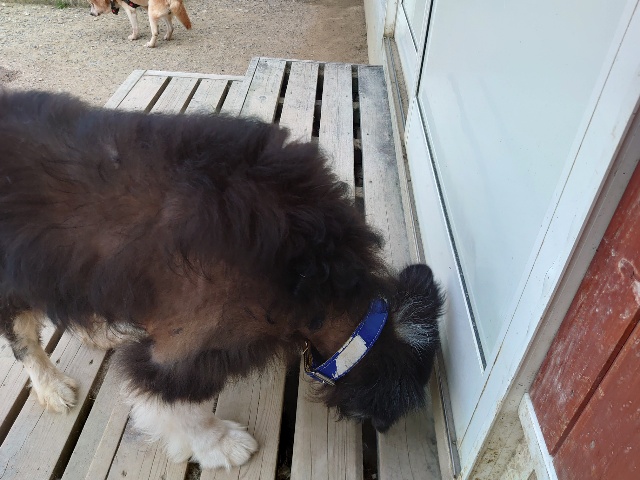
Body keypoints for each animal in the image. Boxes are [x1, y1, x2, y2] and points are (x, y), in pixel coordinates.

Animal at [0, 90, 444, 470]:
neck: (310, 275)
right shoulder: (192, 342)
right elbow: (180, 407)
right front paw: (220, 445)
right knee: (23, 339)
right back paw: (52, 386)